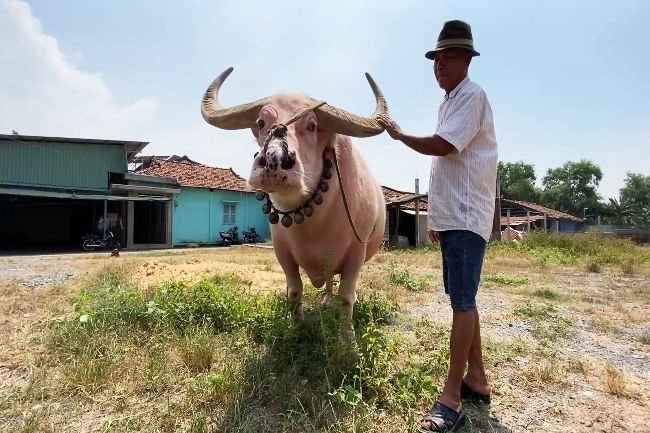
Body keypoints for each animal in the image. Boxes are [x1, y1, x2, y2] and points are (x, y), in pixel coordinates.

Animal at [200, 66, 388, 330]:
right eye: (261, 122)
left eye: (312, 125)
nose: (275, 160)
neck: (315, 224)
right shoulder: (283, 253)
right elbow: (295, 291)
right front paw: (295, 326)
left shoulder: (356, 255)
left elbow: (346, 298)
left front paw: (346, 336)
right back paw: (325, 302)